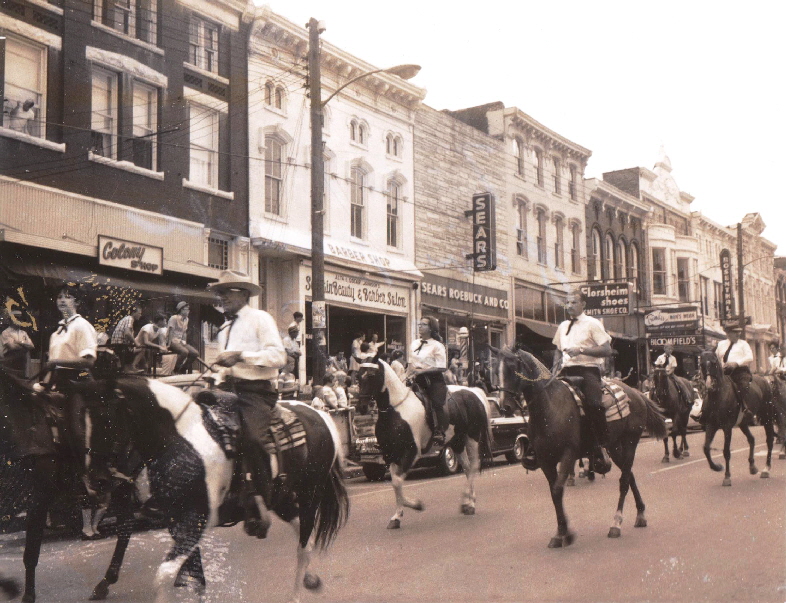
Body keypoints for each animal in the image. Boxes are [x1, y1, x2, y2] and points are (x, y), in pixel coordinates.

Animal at [81, 378, 348, 603]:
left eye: (108, 420)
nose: (95, 480)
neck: (182, 441)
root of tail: (319, 414)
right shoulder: (176, 521)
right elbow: (195, 577)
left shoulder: (194, 520)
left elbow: (165, 574)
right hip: (281, 499)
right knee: (305, 540)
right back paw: (310, 579)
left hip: (310, 496)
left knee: (303, 548)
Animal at [356, 358, 490, 528]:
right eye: (358, 376)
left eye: (371, 375)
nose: (361, 407)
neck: (396, 411)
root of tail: (474, 392)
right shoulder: (390, 454)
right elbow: (395, 482)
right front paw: (397, 517)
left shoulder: (411, 452)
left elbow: (397, 481)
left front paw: (416, 505)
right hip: (457, 441)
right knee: (467, 468)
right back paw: (469, 503)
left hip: (472, 437)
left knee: (473, 466)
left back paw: (468, 503)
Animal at [496, 344, 660, 548]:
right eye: (495, 370)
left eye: (512, 368)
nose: (504, 407)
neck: (550, 407)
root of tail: (635, 392)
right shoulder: (545, 460)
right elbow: (554, 493)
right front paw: (561, 532)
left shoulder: (568, 454)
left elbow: (558, 489)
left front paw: (565, 534)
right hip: (615, 447)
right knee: (629, 475)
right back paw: (640, 514)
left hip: (630, 442)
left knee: (624, 481)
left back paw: (616, 523)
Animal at [696, 352, 780, 488]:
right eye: (702, 364)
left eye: (714, 363)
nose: (710, 385)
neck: (718, 397)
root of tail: (765, 380)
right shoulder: (711, 425)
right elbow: (706, 448)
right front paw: (717, 467)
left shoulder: (727, 427)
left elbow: (726, 451)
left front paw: (727, 477)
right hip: (743, 423)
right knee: (751, 439)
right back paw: (752, 467)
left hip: (767, 417)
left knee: (769, 440)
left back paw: (766, 469)